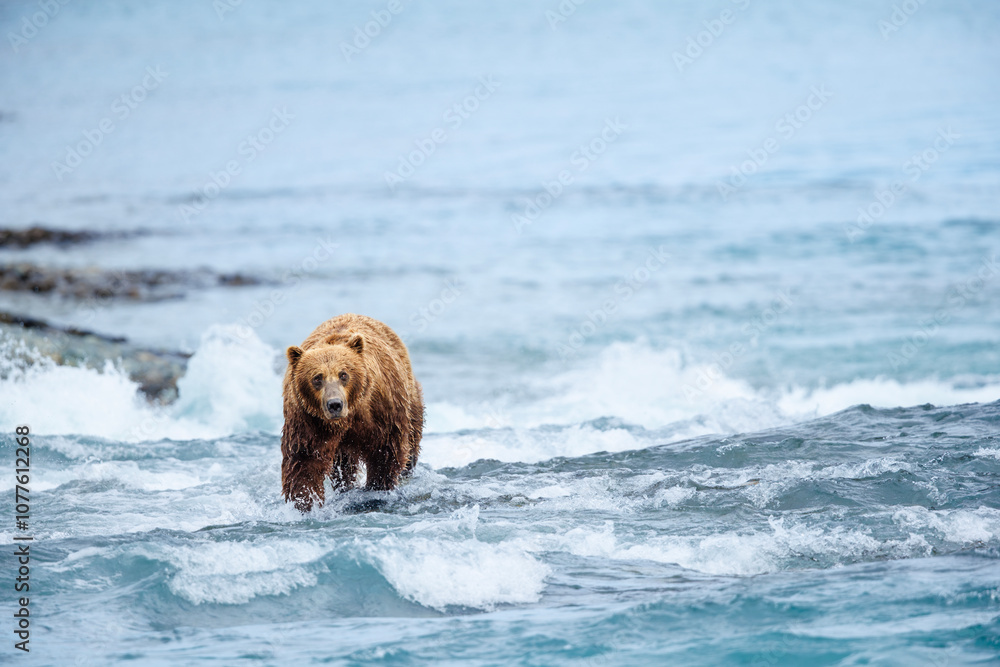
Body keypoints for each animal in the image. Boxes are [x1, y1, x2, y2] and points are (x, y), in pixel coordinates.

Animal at [280, 314, 424, 512]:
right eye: (317, 378)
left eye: (343, 374)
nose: (335, 404)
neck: (349, 418)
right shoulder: (307, 419)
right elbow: (303, 461)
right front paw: (306, 504)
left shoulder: (381, 411)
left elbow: (386, 452)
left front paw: (376, 488)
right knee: (343, 467)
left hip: (410, 398)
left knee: (411, 442)